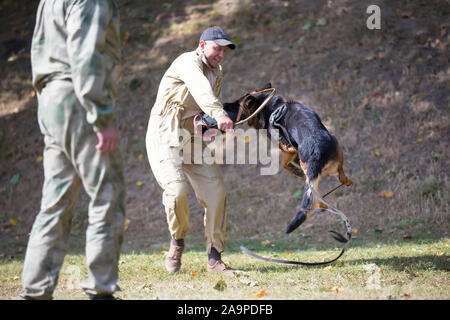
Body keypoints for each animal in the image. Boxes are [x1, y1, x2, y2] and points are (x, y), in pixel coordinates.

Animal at [220, 84, 354, 235]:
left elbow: (283, 163)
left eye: (236, 104)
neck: (269, 107)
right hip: (335, 145)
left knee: (314, 199)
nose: (223, 104)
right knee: (336, 180)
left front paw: (295, 171)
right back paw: (344, 183)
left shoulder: (288, 149)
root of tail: (318, 152)